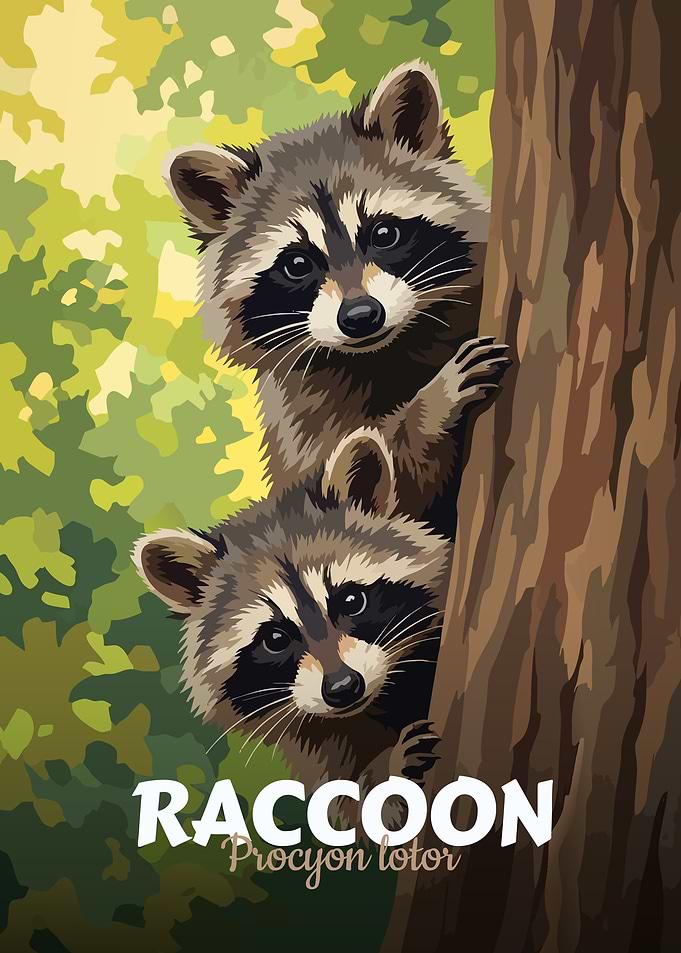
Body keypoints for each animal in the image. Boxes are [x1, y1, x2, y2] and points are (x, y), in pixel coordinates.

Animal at [163, 61, 510, 536]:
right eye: (297, 263)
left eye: (384, 234)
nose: (362, 316)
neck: (386, 351)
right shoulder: (302, 419)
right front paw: (430, 408)